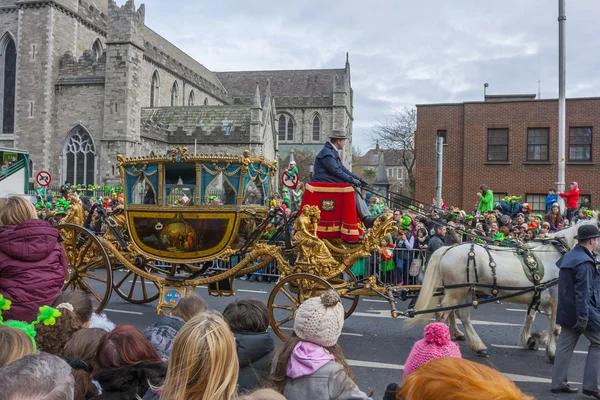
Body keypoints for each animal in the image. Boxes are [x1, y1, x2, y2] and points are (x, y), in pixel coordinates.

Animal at [406, 219, 596, 362]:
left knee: (462, 315)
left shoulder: (542, 297)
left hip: (464, 290)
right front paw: (552, 352)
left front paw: (532, 339)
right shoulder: (557, 299)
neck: (557, 256)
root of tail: (448, 248)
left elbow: (533, 318)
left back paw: (477, 346)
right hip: (456, 291)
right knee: (443, 313)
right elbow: (556, 329)